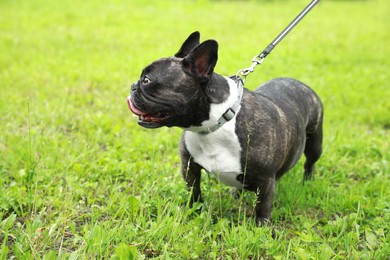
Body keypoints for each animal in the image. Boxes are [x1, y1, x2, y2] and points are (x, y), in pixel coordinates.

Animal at [128, 31, 322, 224]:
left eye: (147, 80)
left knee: (309, 163)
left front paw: (262, 227)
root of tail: (300, 83)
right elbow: (194, 192)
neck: (213, 125)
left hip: (314, 144)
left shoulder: (265, 181)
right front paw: (193, 211)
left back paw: (307, 181)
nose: (133, 86)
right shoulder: (189, 167)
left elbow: (262, 206)